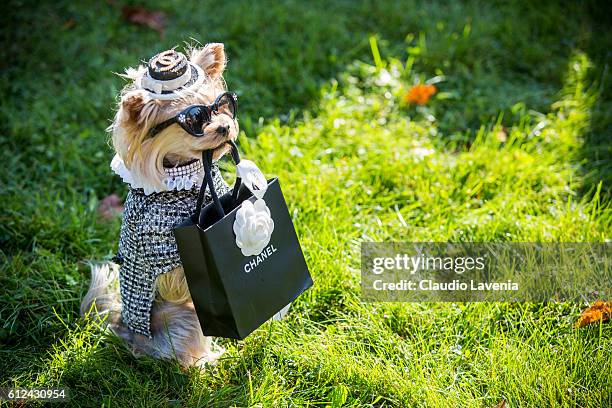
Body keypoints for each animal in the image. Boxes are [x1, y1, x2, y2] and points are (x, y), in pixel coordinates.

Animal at [82, 43, 240, 368]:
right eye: (194, 120)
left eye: (220, 107)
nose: (224, 127)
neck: (187, 179)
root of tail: (124, 331)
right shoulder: (164, 260)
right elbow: (178, 280)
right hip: (181, 318)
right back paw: (207, 363)